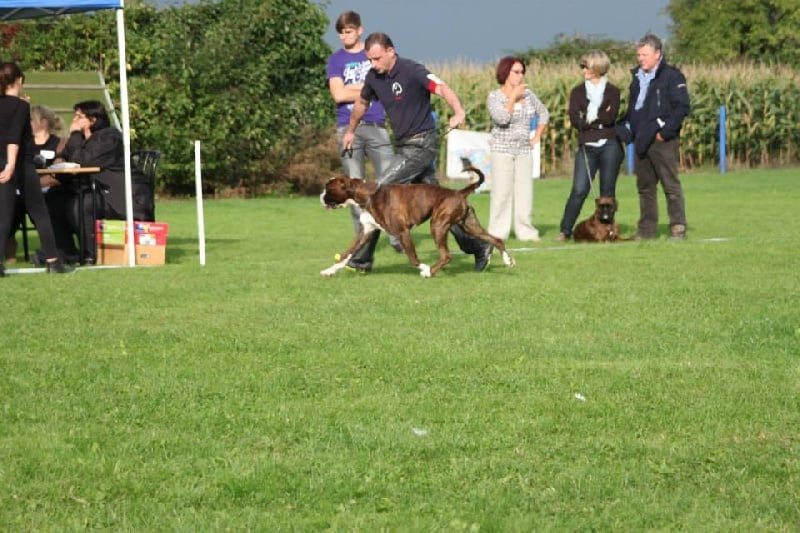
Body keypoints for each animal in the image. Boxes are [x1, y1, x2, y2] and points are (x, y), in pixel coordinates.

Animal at [320, 159, 516, 276]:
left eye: (329, 189)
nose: (321, 196)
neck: (369, 196)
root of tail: (458, 192)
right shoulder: (365, 233)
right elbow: (346, 254)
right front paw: (330, 270)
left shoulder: (403, 232)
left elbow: (413, 258)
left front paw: (424, 267)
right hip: (469, 225)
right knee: (496, 239)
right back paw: (507, 260)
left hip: (437, 225)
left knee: (446, 256)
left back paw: (429, 272)